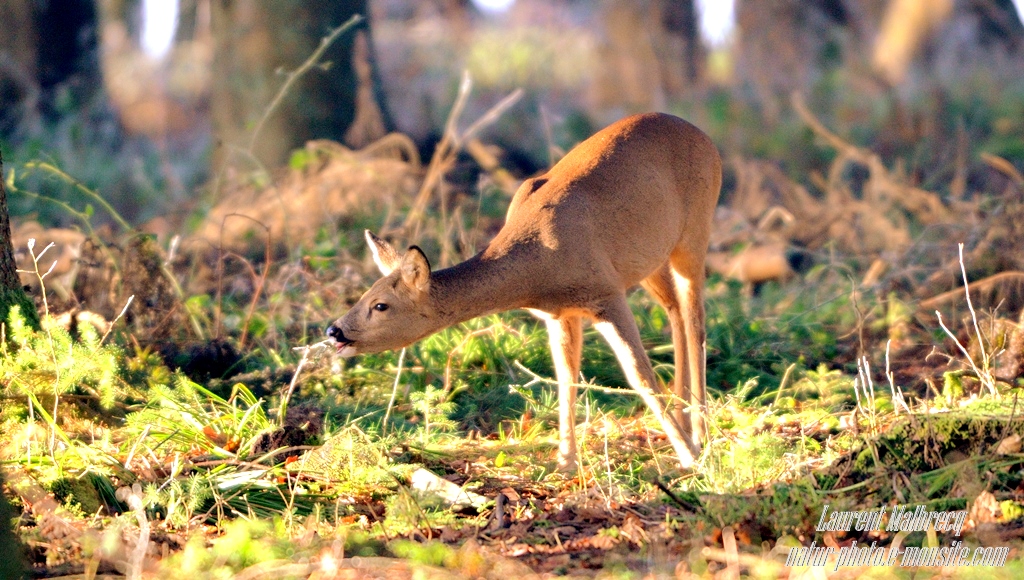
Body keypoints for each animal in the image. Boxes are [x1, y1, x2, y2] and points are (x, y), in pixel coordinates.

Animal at [327, 113, 720, 473]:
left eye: (381, 305)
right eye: (364, 295)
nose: (334, 330)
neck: (539, 264)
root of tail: (703, 135)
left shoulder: (606, 293)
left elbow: (639, 376)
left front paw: (690, 457)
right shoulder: (560, 312)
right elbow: (566, 377)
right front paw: (565, 463)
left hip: (695, 229)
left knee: (696, 323)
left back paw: (699, 432)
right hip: (651, 258)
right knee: (675, 312)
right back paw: (687, 417)